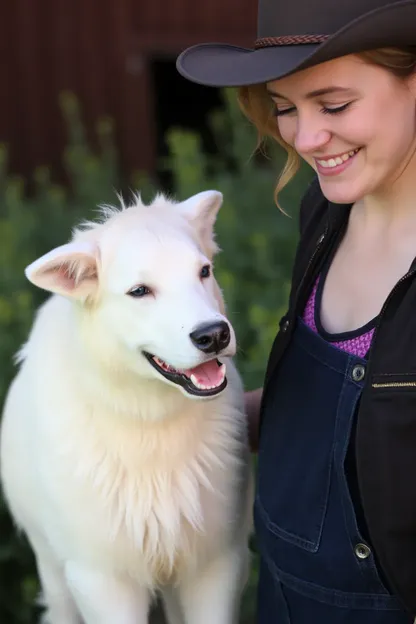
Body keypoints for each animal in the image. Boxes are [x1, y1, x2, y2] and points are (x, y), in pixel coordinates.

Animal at [0, 190, 252, 624]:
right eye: (139, 291)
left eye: (204, 271)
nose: (214, 335)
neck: (148, 421)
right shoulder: (101, 579)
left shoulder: (215, 563)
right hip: (53, 569)